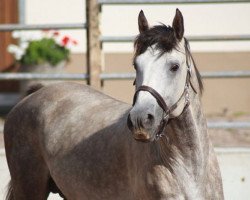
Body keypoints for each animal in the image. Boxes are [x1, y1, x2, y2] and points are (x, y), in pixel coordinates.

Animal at [3, 9, 224, 200]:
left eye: (174, 66)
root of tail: (34, 94)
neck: (189, 171)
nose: (140, 120)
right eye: (136, 65)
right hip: (29, 189)